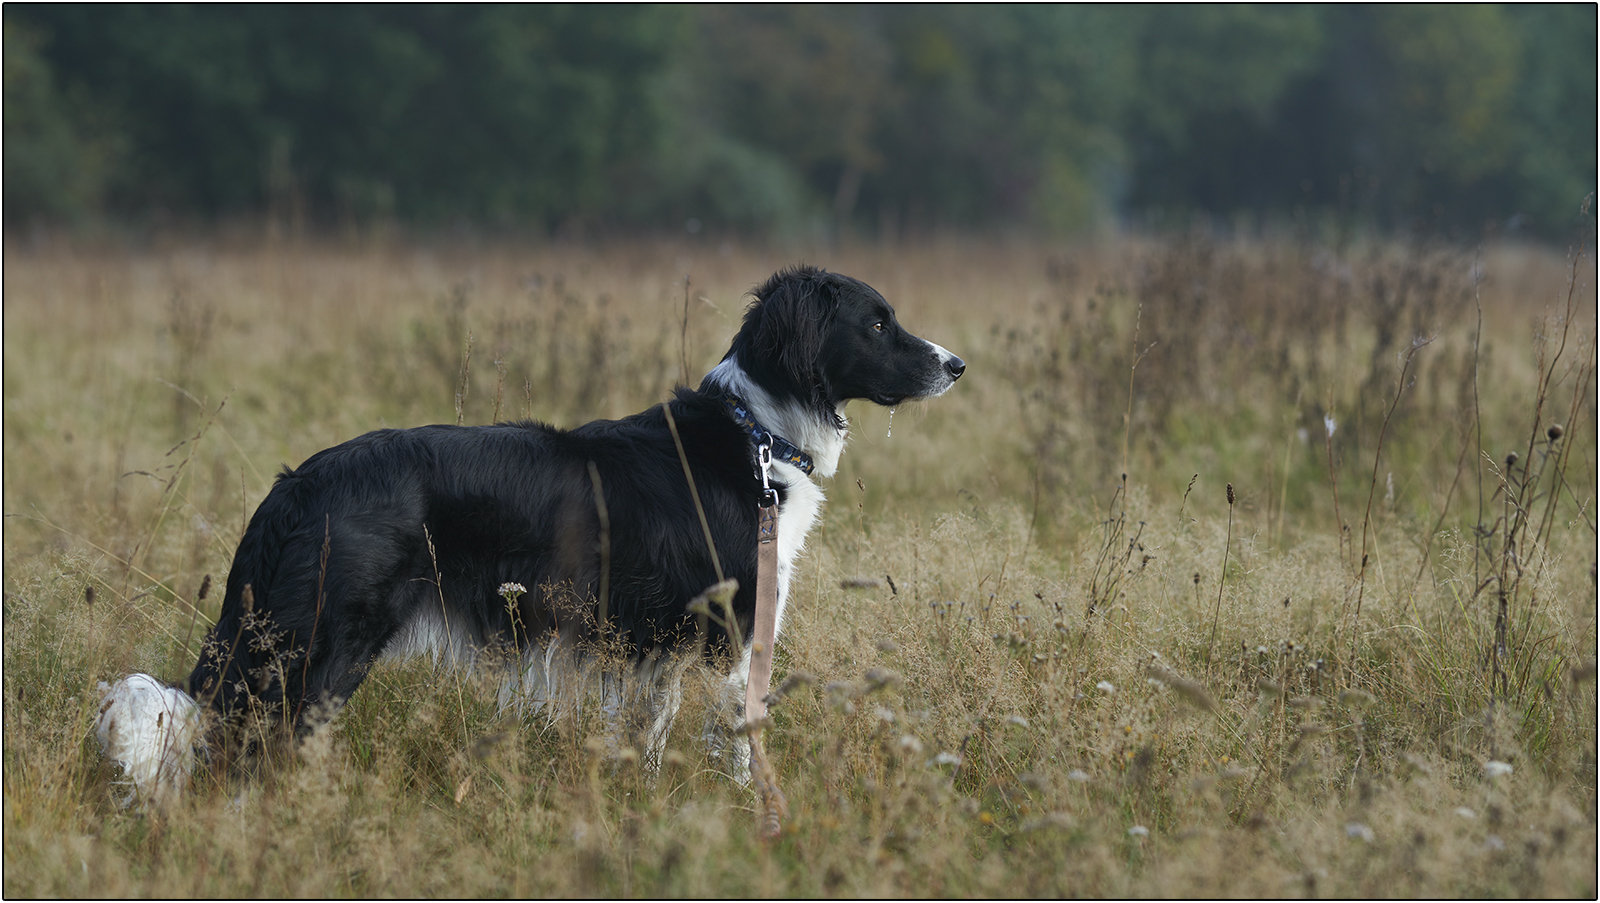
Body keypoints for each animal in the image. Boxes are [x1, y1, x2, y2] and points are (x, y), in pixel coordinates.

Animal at [96, 264, 960, 800]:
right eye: (876, 323)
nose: (957, 364)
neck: (756, 433)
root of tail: (296, 484)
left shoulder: (649, 653)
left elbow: (647, 736)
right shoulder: (731, 631)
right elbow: (739, 740)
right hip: (322, 648)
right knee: (251, 749)